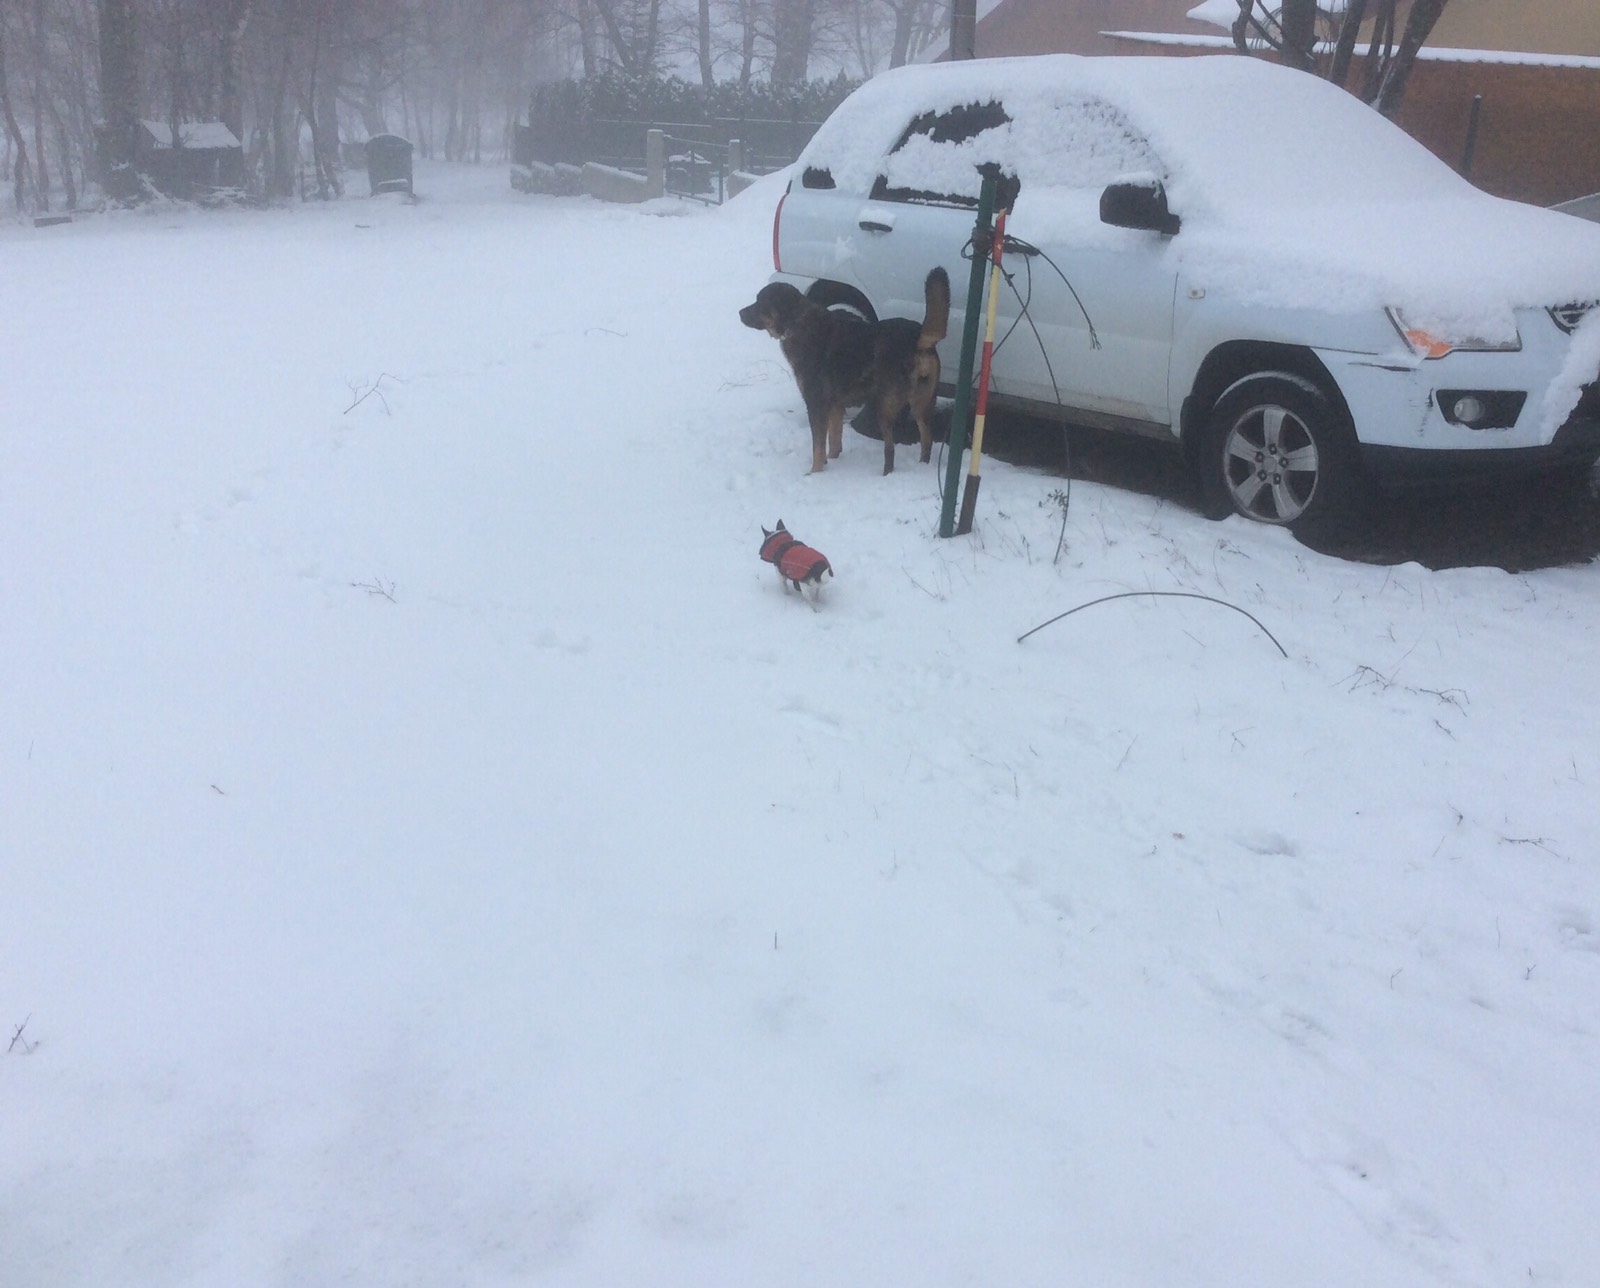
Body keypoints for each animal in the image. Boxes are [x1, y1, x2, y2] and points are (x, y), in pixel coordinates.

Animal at [739, 265, 947, 473]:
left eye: (760, 302)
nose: (740, 312)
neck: (796, 324)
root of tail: (918, 337)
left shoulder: (816, 403)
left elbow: (818, 446)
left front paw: (814, 474)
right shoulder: (835, 406)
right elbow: (834, 441)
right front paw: (831, 463)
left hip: (885, 407)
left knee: (890, 449)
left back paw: (886, 473)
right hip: (922, 404)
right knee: (926, 440)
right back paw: (921, 465)